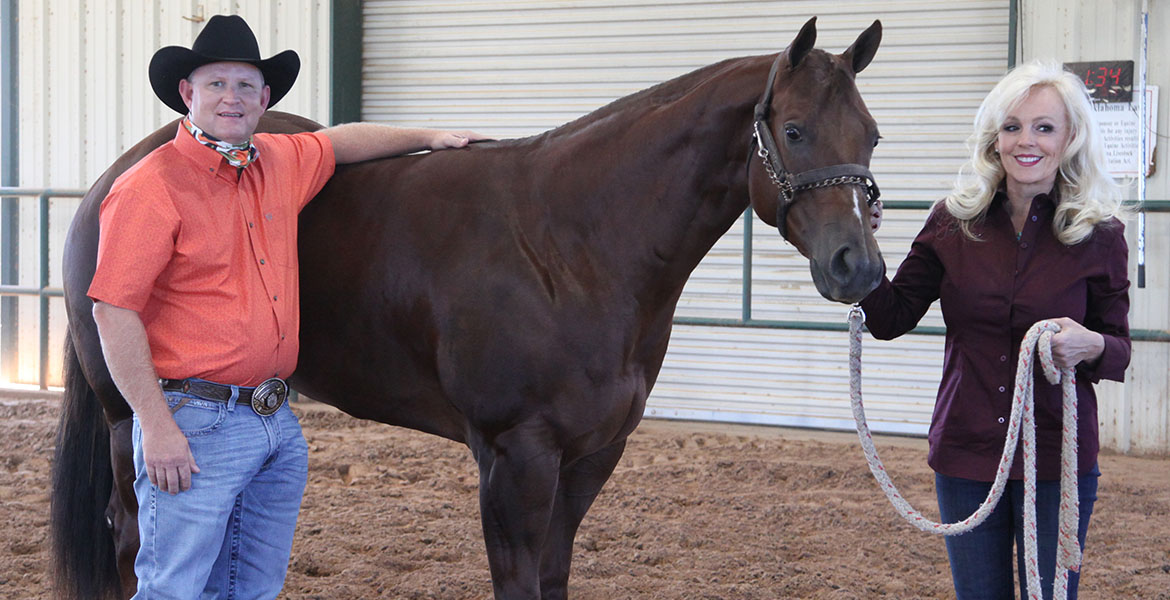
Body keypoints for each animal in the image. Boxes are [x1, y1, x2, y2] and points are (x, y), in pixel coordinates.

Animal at [50, 18, 879, 598]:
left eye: (871, 135)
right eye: (795, 130)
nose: (859, 267)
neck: (572, 245)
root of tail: (114, 180)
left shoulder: (591, 456)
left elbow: (554, 577)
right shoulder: (516, 457)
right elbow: (517, 582)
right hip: (130, 422)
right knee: (133, 543)